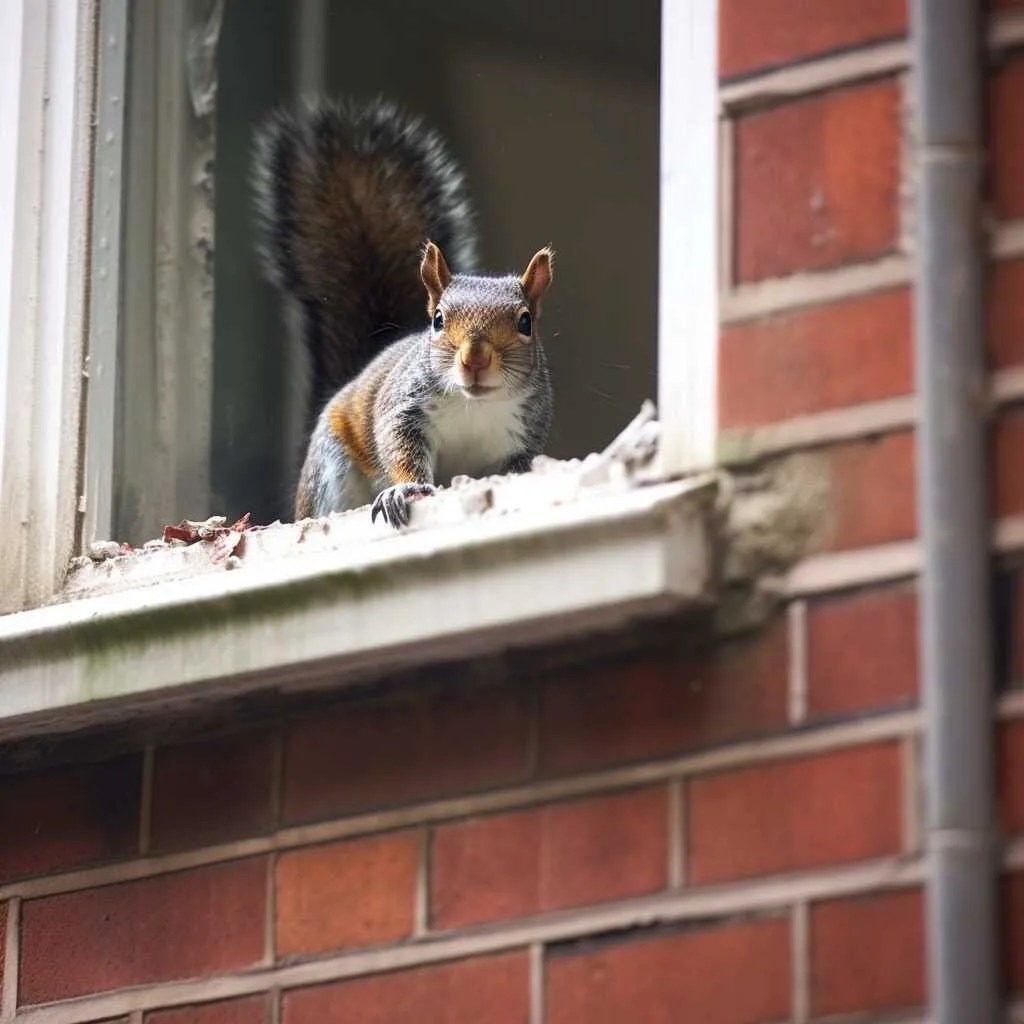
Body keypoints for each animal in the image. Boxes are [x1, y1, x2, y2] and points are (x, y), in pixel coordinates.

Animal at [252, 98, 554, 528]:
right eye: (438, 320)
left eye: (525, 322)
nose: (475, 360)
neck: (474, 406)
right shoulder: (403, 409)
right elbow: (400, 448)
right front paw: (405, 490)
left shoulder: (525, 434)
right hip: (331, 465)